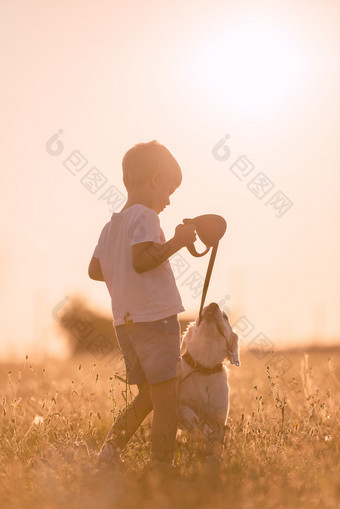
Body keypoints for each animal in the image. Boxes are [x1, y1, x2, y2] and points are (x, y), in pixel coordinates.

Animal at [178, 300, 239, 458]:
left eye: (225, 317)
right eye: (201, 310)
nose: (213, 304)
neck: (204, 366)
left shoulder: (219, 416)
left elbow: (216, 439)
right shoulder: (178, 405)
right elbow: (190, 415)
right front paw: (203, 432)